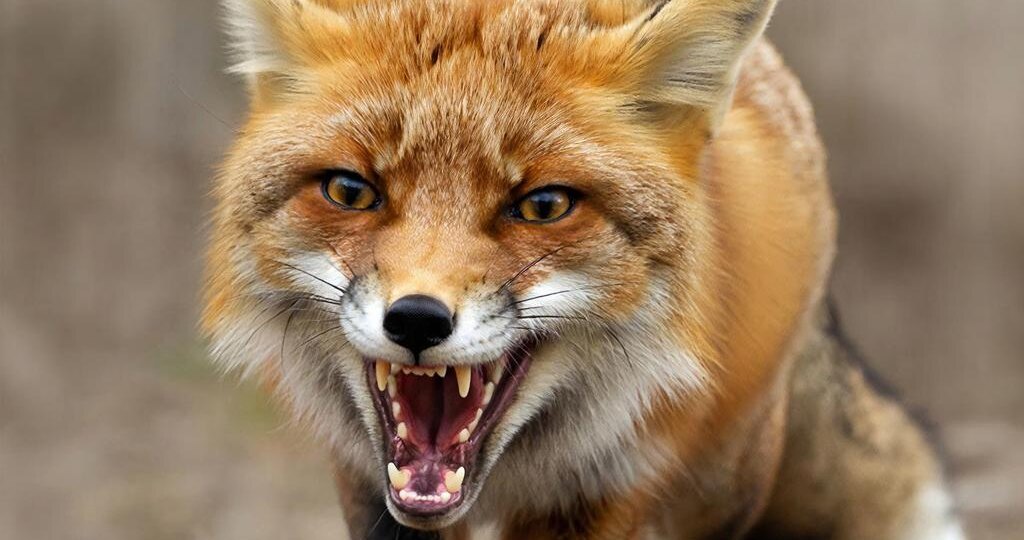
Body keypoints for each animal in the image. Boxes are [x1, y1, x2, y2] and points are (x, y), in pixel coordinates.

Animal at [202, 0, 966, 538]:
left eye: (543, 205)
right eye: (350, 191)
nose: (416, 319)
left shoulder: (603, 482)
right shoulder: (367, 482)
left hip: (726, 482)